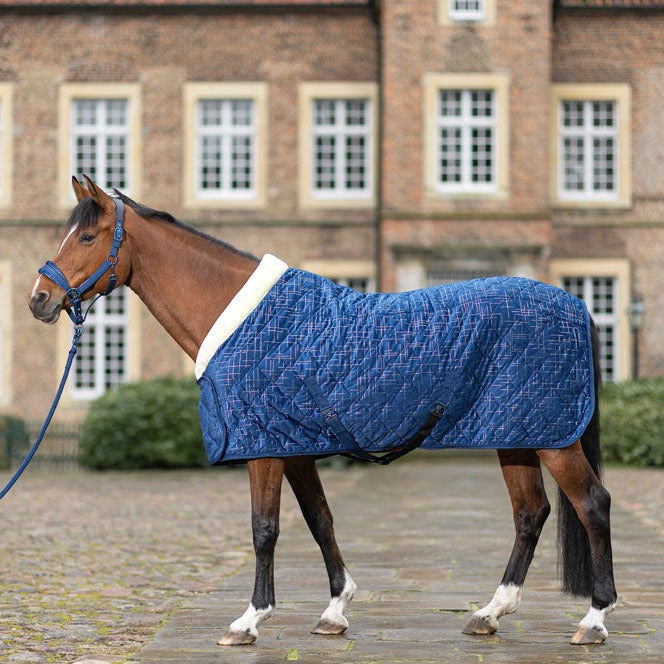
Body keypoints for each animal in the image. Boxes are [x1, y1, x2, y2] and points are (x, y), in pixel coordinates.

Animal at [29, 176, 617, 647]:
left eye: (86, 237)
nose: (39, 299)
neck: (242, 317)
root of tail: (574, 304)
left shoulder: (263, 445)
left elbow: (264, 528)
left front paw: (249, 621)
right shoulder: (294, 446)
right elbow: (319, 520)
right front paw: (335, 610)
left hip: (552, 436)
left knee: (592, 504)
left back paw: (594, 620)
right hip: (517, 434)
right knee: (530, 513)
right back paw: (490, 613)